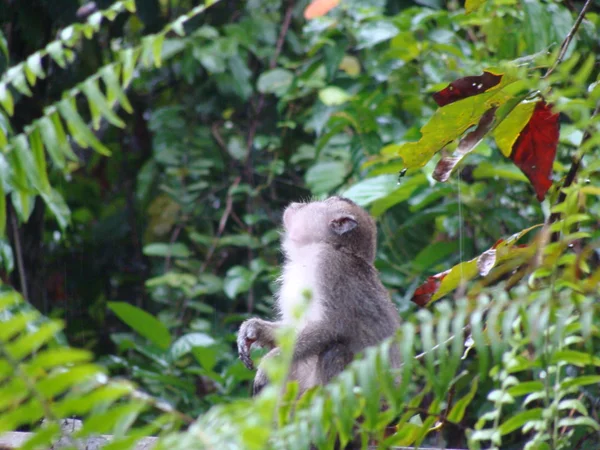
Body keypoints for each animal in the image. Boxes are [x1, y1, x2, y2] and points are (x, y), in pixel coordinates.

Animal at [237, 195, 400, 396]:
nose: (298, 205)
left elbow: (329, 326)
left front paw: (270, 362)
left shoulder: (328, 264)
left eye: (326, 201)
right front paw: (254, 329)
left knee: (335, 349)